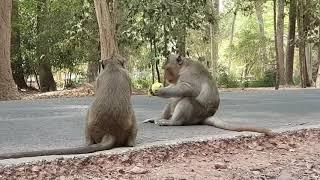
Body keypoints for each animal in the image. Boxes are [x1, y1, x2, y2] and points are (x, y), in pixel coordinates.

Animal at [144, 54, 274, 136]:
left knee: (186, 100)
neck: (184, 66)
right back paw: (160, 118)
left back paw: (173, 122)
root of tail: (204, 116)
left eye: (167, 69)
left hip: (196, 112)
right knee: (173, 101)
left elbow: (188, 89)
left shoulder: (190, 75)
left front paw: (160, 91)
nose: (166, 77)